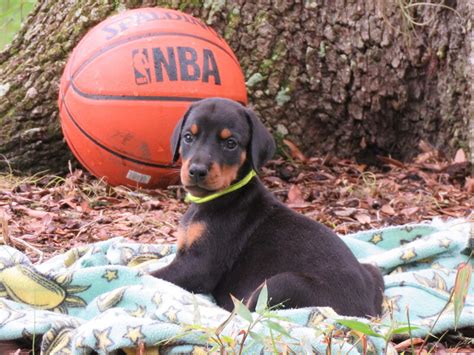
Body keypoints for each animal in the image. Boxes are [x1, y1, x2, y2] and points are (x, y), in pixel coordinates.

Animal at [153, 97, 386, 318]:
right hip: (373, 271)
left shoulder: (199, 265)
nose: (197, 171)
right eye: (188, 137)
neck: (220, 196)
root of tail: (367, 314)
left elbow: (153, 275)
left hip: (278, 284)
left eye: (230, 143)